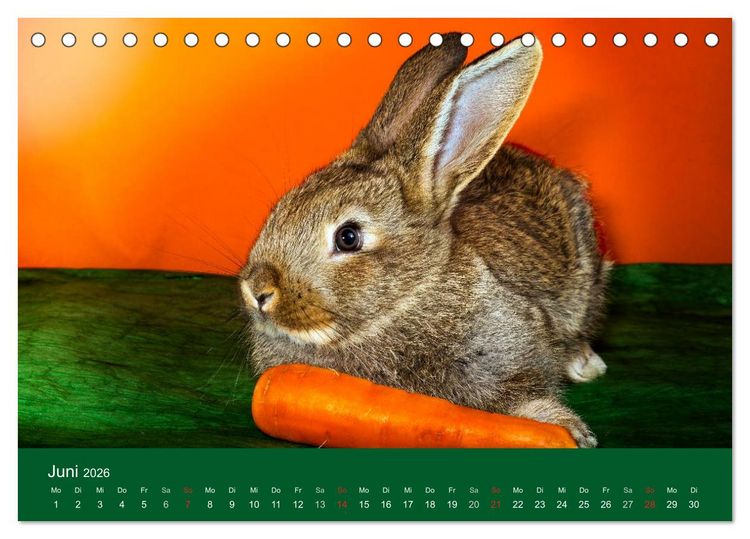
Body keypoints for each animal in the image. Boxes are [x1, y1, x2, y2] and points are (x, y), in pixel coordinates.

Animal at [239, 32, 610, 447]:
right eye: (280, 209)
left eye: (348, 238)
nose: (257, 291)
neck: (406, 301)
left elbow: (518, 396)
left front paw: (567, 428)